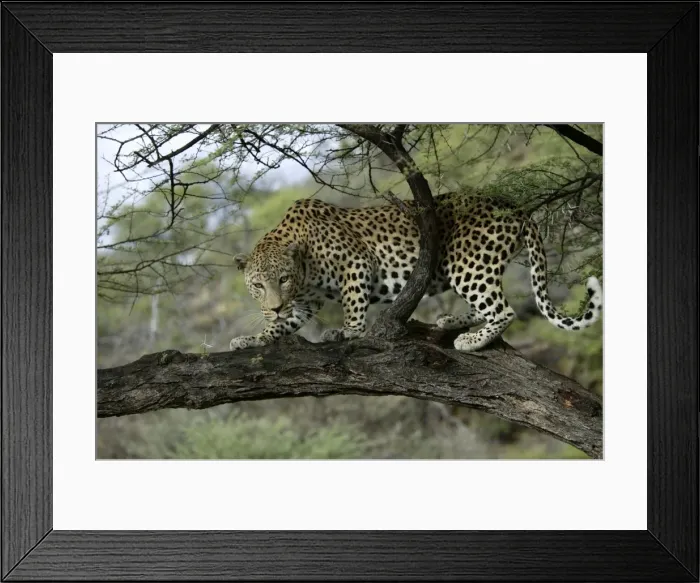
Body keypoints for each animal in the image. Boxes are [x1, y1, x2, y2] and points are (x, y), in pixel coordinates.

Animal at [229, 191, 602, 352]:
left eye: (283, 279)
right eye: (258, 286)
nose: (275, 304)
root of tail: (513, 205)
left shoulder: (356, 264)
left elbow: (353, 303)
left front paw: (348, 332)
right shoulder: (305, 303)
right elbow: (281, 325)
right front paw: (253, 338)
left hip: (466, 264)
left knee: (502, 310)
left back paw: (471, 341)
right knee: (487, 306)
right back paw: (452, 321)